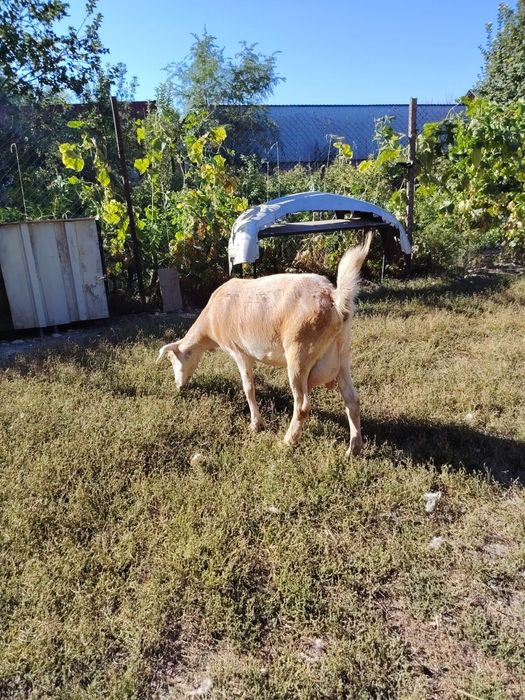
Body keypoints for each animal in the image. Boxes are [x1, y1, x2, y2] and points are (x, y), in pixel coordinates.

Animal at [158, 233, 371, 456]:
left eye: (172, 359)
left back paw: (287, 442)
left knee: (302, 406)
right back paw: (353, 449)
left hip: (299, 354)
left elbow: (248, 388)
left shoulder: (239, 352)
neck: (210, 323)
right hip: (342, 352)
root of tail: (334, 297)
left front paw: (255, 424)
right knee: (352, 400)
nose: (178, 386)